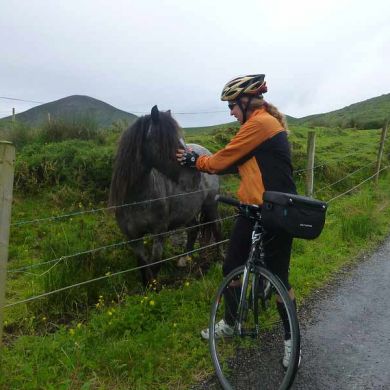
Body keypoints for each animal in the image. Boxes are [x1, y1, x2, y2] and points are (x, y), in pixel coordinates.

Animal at [108, 105, 221, 284]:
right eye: (169, 142)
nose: (195, 177)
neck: (137, 199)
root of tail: (207, 153)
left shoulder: (159, 232)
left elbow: (155, 263)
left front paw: (154, 287)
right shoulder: (133, 237)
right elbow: (142, 264)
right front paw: (146, 286)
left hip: (211, 205)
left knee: (217, 228)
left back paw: (220, 259)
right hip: (188, 211)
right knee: (193, 229)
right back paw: (184, 260)